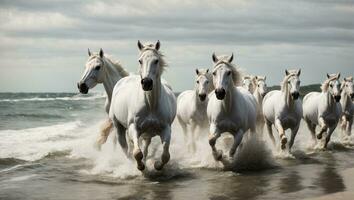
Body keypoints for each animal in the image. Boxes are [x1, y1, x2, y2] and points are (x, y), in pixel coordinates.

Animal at [108, 40, 176, 170]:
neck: (151, 105)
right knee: (125, 148)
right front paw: (140, 167)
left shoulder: (166, 129)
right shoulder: (133, 127)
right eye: (140, 60)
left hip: (147, 133)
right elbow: (137, 153)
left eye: (156, 60)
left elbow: (166, 155)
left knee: (145, 146)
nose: (146, 83)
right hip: (118, 126)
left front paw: (157, 165)